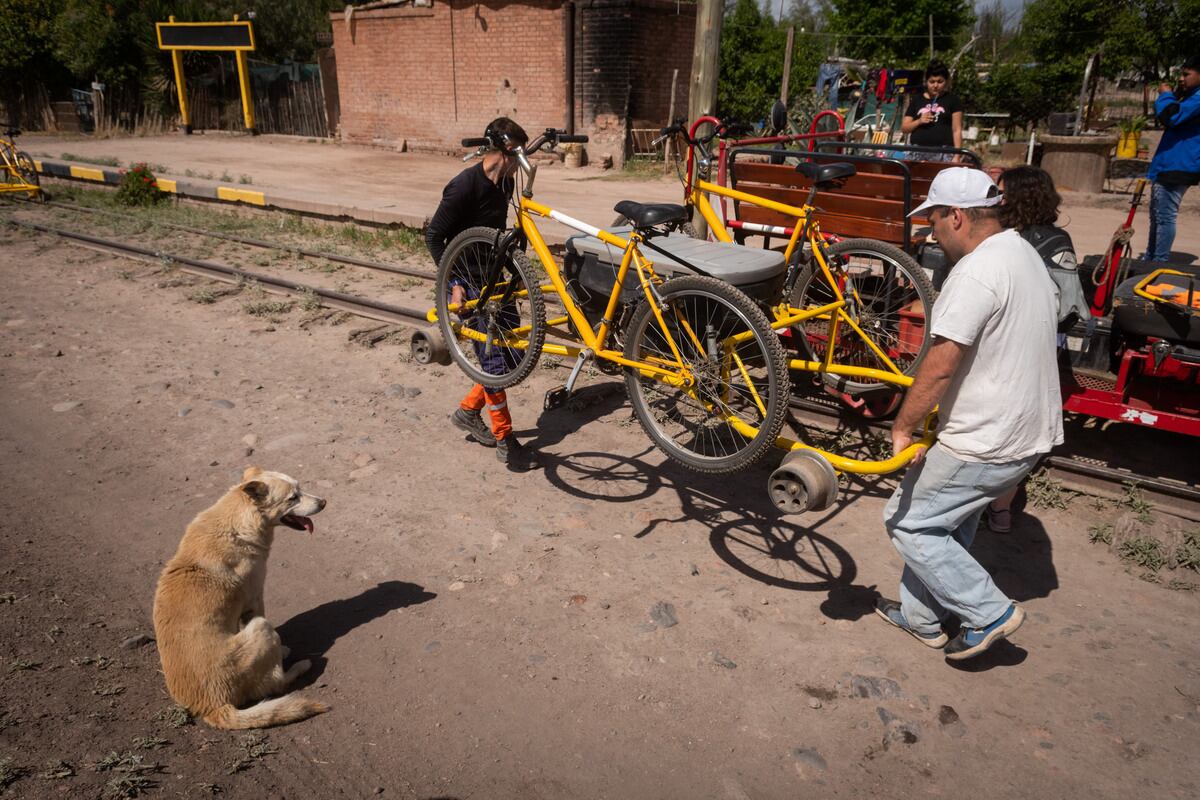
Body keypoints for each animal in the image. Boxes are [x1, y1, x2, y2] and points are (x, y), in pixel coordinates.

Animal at [156, 465, 333, 729]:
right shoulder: (255, 601)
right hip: (261, 627)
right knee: (277, 684)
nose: (324, 502)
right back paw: (298, 664)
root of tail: (212, 706)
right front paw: (282, 650)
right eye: (293, 497)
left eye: (300, 489)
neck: (239, 521)